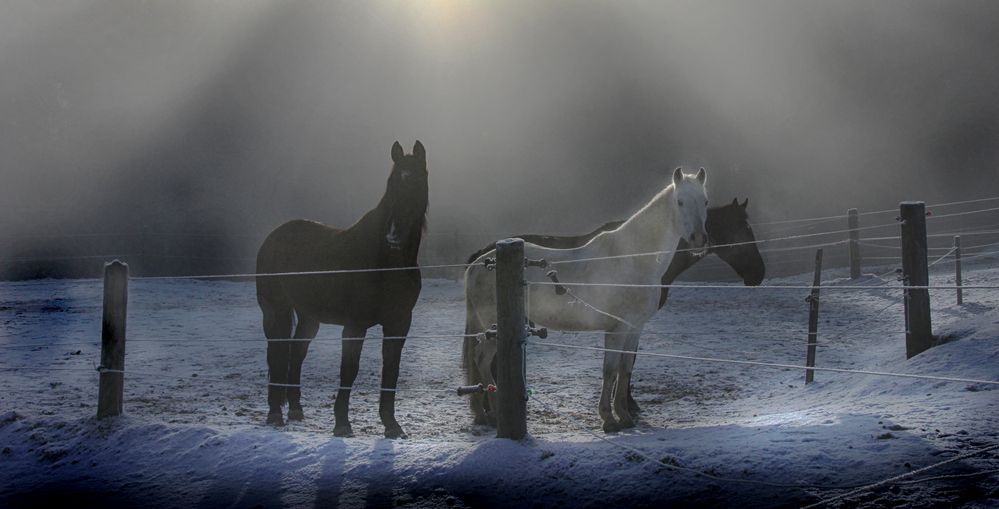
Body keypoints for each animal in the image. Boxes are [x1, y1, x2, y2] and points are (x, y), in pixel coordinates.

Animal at [256, 140, 428, 436]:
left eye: (417, 181)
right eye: (391, 183)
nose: (393, 234)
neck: (385, 261)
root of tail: (272, 237)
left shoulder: (399, 323)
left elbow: (391, 370)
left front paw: (391, 425)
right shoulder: (355, 325)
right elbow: (349, 369)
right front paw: (342, 424)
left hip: (309, 318)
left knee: (296, 353)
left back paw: (296, 409)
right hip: (275, 311)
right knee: (276, 355)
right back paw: (275, 413)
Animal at [462, 196, 764, 422]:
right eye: (744, 230)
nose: (759, 274)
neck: (642, 254)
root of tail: (480, 260)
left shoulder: (632, 325)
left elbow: (625, 364)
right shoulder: (625, 323)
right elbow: (625, 364)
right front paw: (628, 406)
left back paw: (486, 410)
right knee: (483, 359)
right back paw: (490, 410)